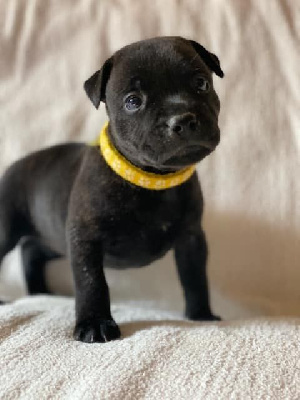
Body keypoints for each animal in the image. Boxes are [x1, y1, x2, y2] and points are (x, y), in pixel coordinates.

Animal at [0, 37, 223, 342]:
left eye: (201, 83)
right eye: (133, 102)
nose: (181, 119)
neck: (151, 180)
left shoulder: (191, 237)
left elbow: (195, 277)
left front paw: (201, 314)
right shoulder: (85, 239)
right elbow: (91, 282)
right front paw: (94, 323)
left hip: (54, 237)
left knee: (31, 250)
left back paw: (40, 291)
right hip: (8, 228)